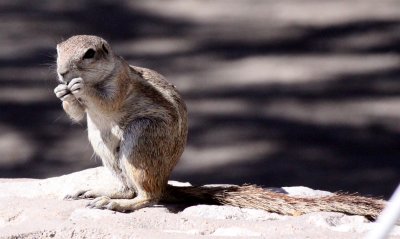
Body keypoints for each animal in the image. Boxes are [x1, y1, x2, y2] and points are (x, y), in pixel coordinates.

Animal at [53, 35, 384, 220]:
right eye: (58, 51)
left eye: (89, 54)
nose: (61, 72)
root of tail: (165, 179)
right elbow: (77, 113)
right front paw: (62, 93)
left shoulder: (121, 83)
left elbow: (108, 101)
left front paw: (81, 87)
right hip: (102, 142)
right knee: (128, 187)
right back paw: (97, 192)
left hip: (142, 140)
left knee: (150, 196)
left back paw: (118, 204)